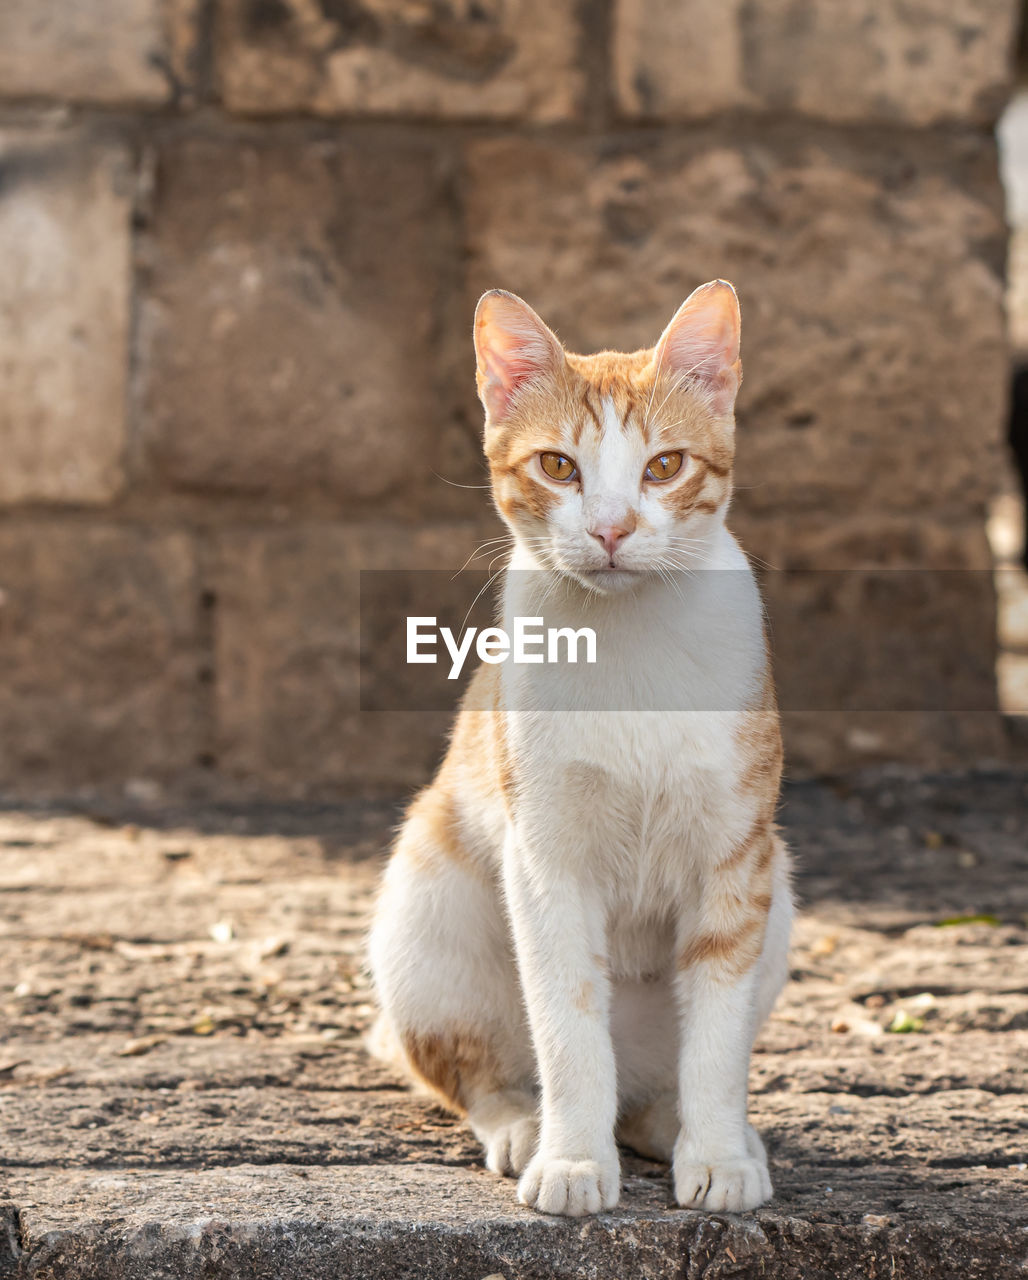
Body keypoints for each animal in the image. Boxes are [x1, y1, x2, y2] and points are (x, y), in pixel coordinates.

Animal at [368, 282, 793, 1218]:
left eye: (664, 467)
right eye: (559, 467)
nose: (611, 529)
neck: (627, 642)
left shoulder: (735, 856)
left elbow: (716, 1036)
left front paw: (718, 1154)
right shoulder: (546, 860)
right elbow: (567, 1023)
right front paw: (570, 1160)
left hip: (780, 893)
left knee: (658, 1086)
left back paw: (678, 1127)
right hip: (424, 903)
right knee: (474, 1068)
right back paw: (525, 1125)